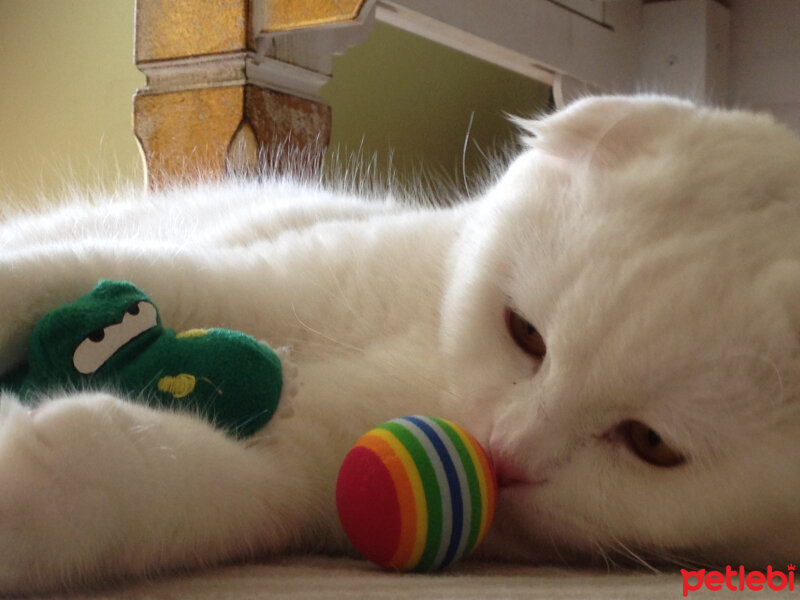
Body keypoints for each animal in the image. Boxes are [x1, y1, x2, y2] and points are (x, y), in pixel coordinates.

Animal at [1, 96, 800, 592]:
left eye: (651, 445)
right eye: (525, 335)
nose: (502, 451)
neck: (429, 367)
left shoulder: (285, 484)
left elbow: (137, 473)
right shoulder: (247, 276)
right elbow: (52, 271)